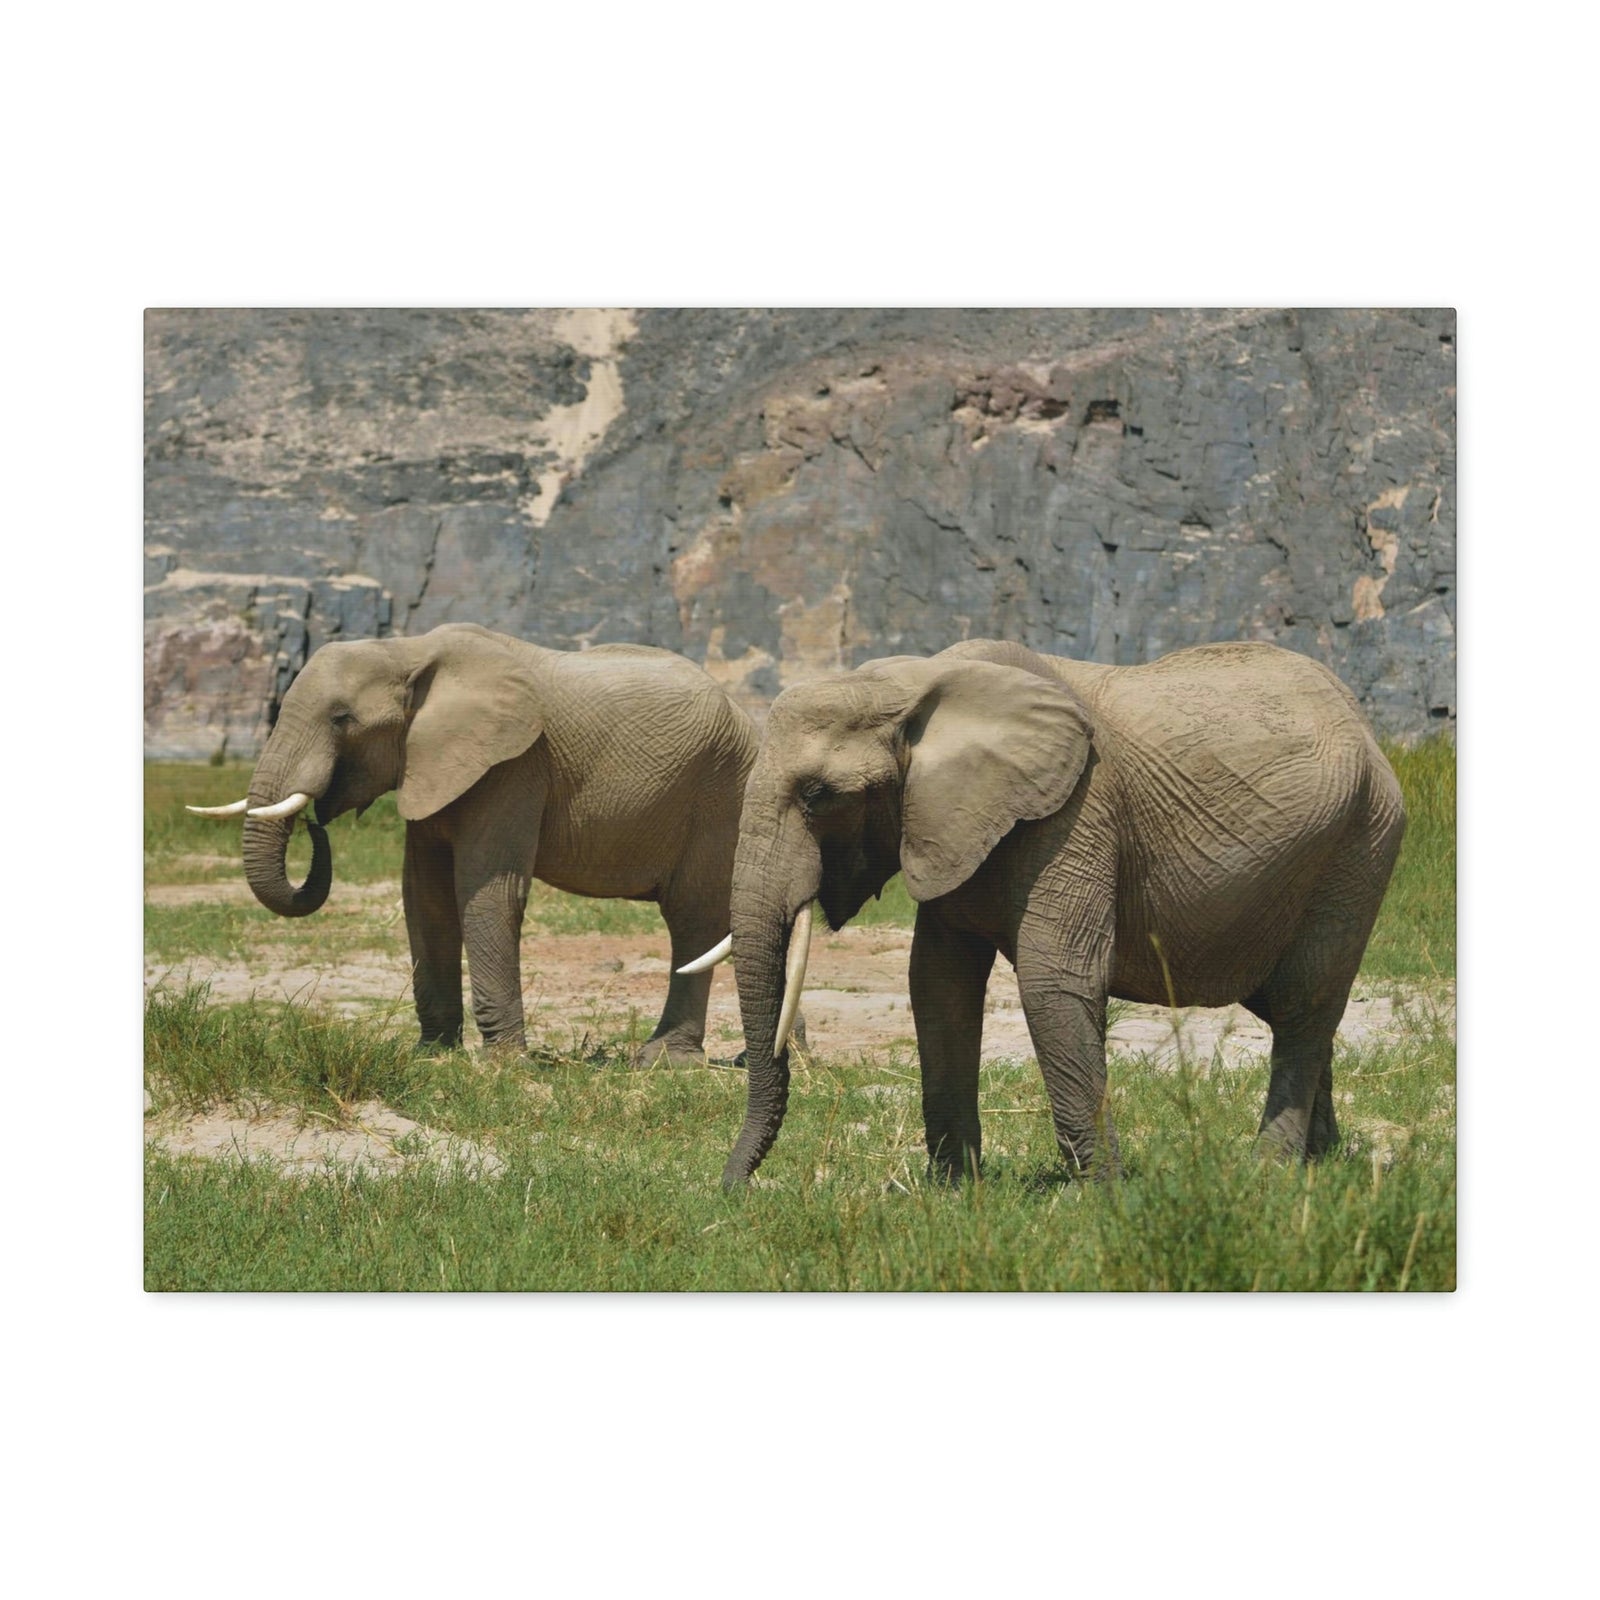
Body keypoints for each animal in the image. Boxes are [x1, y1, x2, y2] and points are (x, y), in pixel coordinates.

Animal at [188, 623, 758, 1064]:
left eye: (341, 718)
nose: (316, 821)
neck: (407, 650)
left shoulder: (514, 765)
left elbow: (488, 894)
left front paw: (502, 1064)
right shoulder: (432, 765)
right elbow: (425, 897)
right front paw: (432, 1055)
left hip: (721, 793)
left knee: (691, 919)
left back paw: (664, 1062)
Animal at [688, 638, 1406, 1188]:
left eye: (817, 795)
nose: (734, 1189)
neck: (915, 684)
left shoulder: (1076, 813)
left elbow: (1052, 982)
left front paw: (1104, 1196)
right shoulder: (952, 824)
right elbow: (938, 985)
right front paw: (954, 1192)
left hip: (1361, 844)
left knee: (1303, 1003)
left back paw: (1269, 1174)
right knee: (1295, 1009)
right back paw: (1321, 1161)